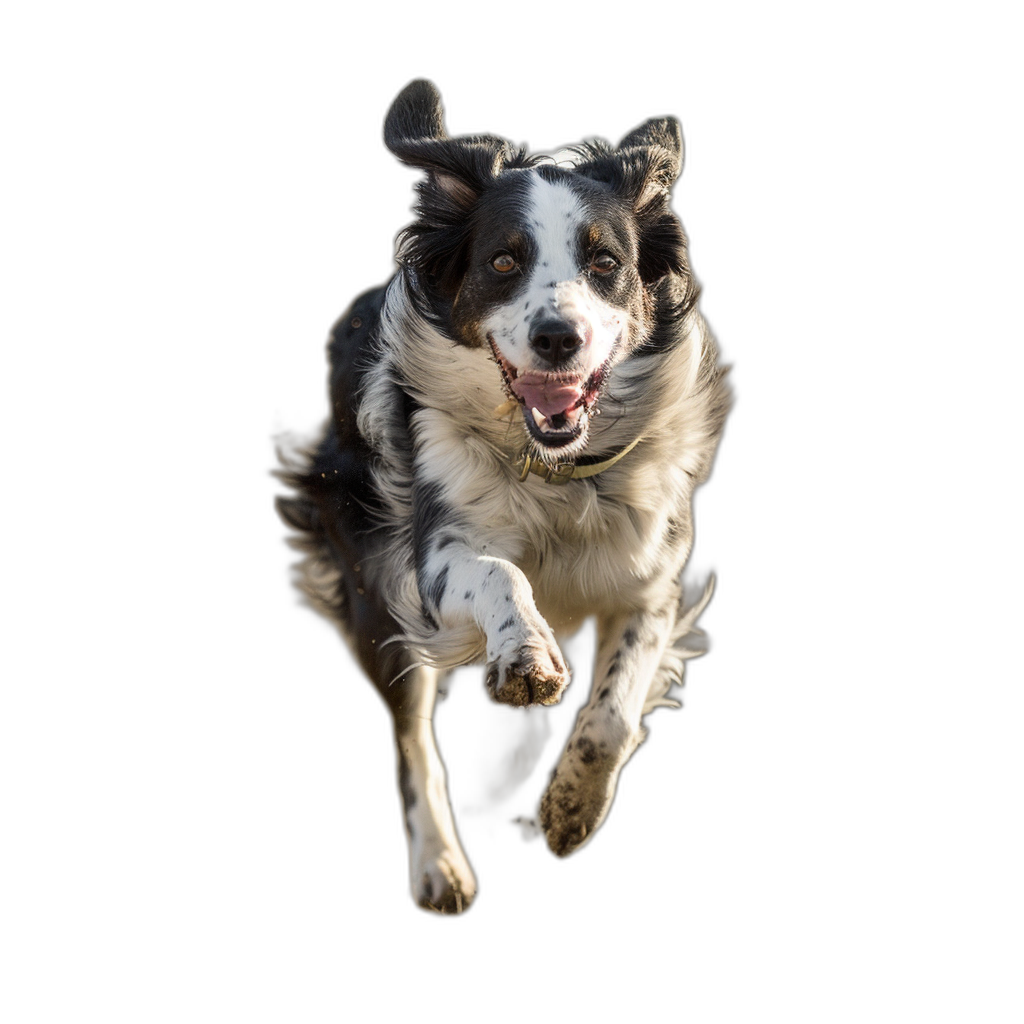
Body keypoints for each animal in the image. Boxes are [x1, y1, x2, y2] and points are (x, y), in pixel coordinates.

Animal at [276, 77, 733, 913]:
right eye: (502, 261)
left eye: (606, 263)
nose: (557, 338)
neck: (556, 471)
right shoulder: (430, 558)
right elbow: (495, 574)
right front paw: (524, 657)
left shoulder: (651, 577)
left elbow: (615, 711)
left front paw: (570, 809)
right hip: (370, 584)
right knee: (412, 737)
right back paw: (439, 865)